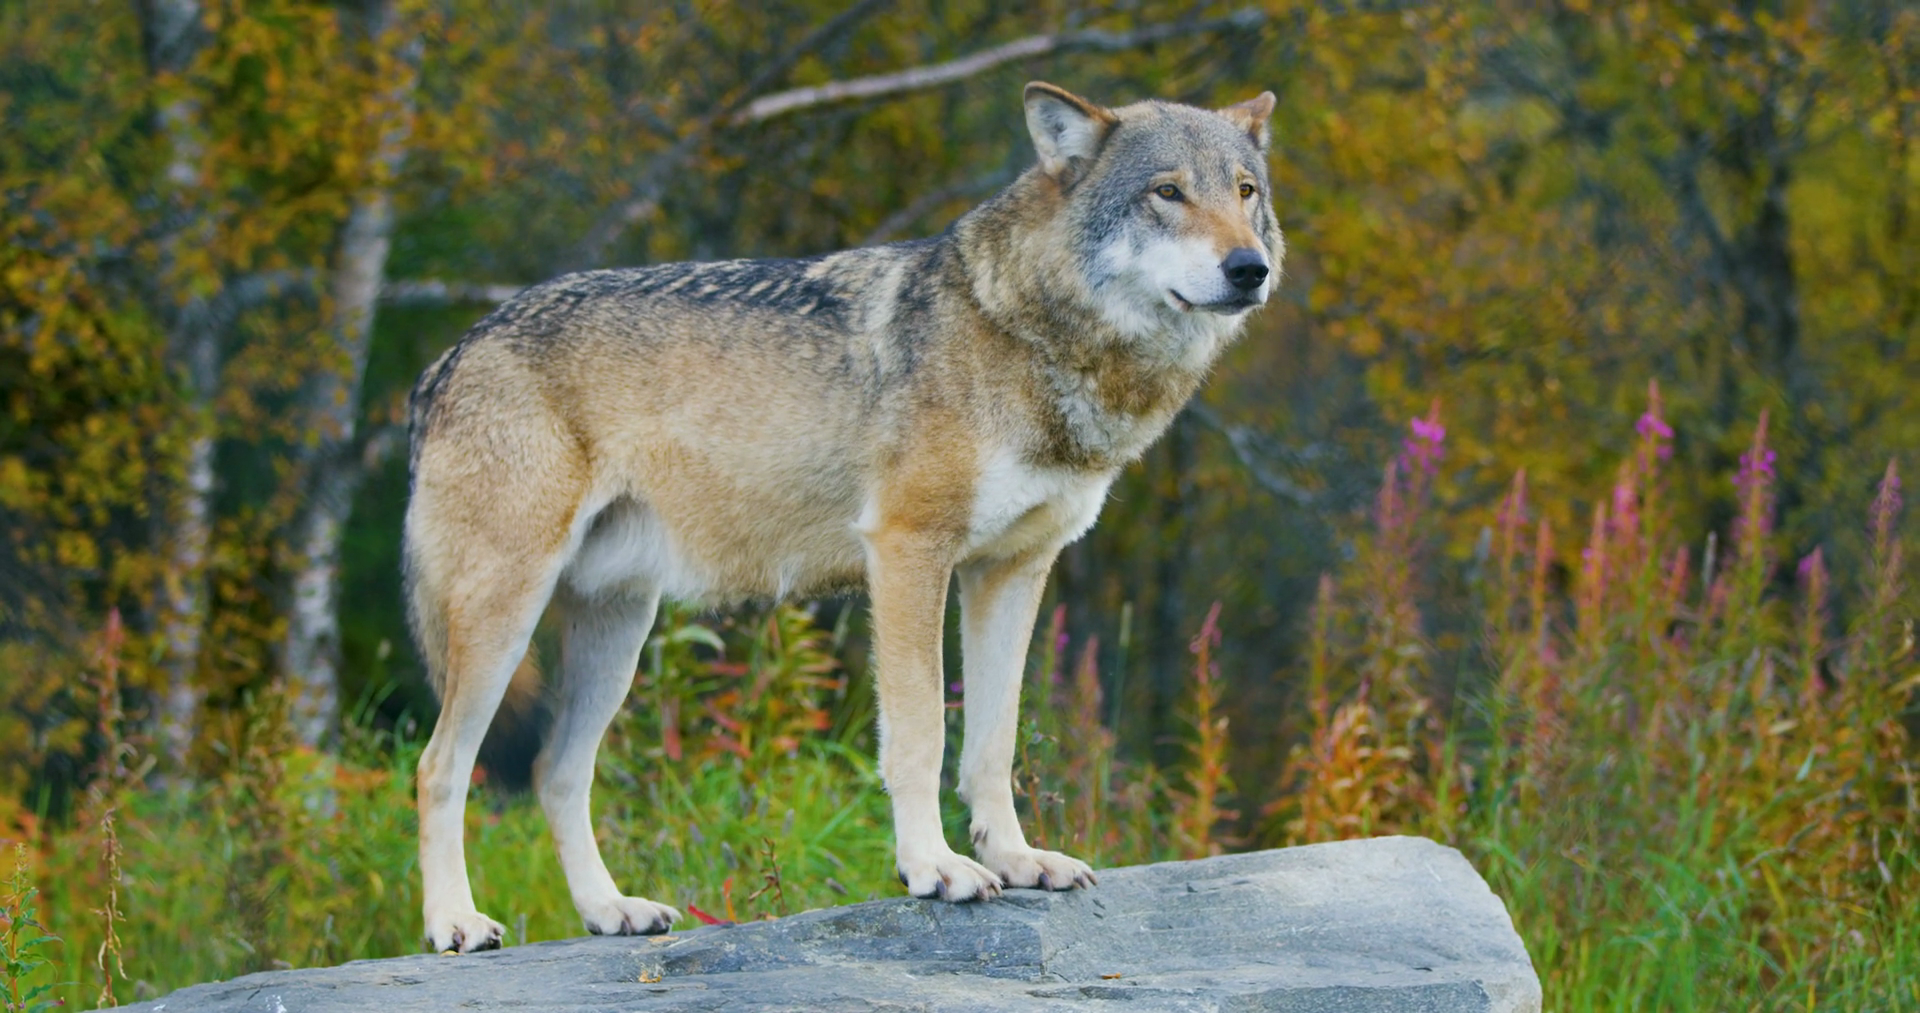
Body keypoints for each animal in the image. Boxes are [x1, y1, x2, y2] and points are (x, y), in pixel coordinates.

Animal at [401, 82, 1274, 955]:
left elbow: (993, 742)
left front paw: (1018, 858)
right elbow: (921, 733)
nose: (1250, 268)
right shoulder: (909, 551)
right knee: (440, 765)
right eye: (1167, 192)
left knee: (555, 770)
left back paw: (608, 908)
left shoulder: (1013, 571)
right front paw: (935, 867)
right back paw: (453, 922)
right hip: (507, 618)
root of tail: (449, 357)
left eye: (1244, 192)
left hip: (618, 631)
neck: (1027, 333)